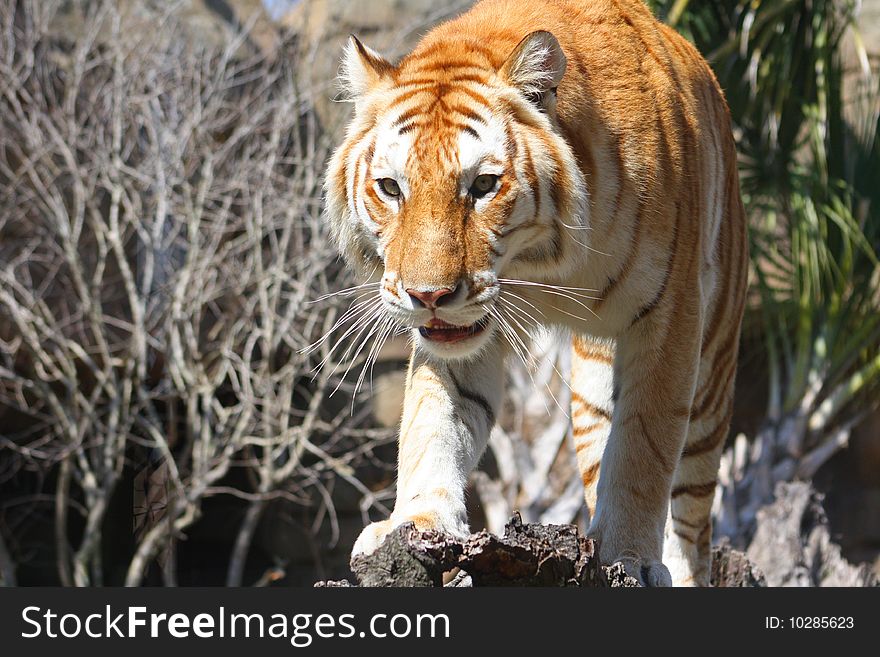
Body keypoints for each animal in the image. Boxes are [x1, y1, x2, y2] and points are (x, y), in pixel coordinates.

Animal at [324, 0, 748, 588]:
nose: (427, 295)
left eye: (482, 186)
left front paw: (631, 559)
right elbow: (433, 421)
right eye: (391, 188)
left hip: (711, 377)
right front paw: (415, 524)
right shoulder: (458, 337)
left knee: (692, 514)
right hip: (592, 392)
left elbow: (644, 447)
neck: (543, 265)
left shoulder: (670, 316)